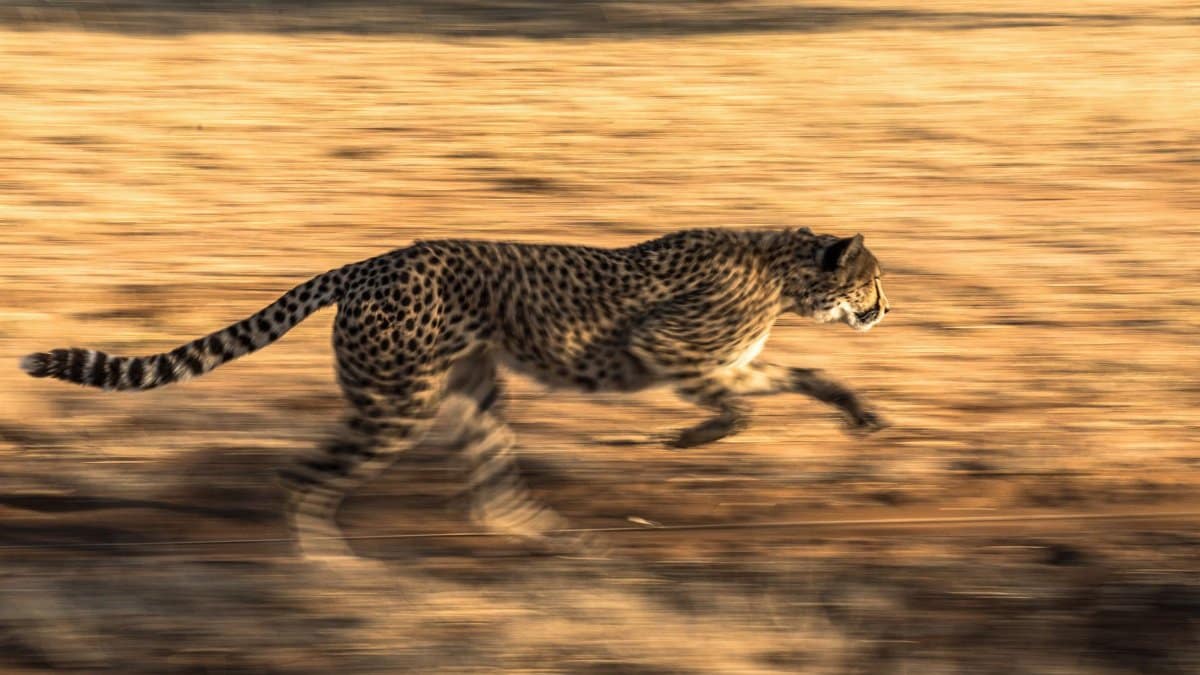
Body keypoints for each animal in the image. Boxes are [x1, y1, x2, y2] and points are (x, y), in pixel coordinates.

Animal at [20, 227, 890, 560]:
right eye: (871, 281)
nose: (885, 310)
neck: (783, 269)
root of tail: (372, 260)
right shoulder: (667, 349)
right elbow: (738, 403)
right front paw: (691, 437)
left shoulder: (728, 360)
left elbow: (801, 379)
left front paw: (862, 413)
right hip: (397, 402)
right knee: (300, 476)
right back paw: (334, 573)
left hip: (471, 390)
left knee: (490, 493)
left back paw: (564, 544)